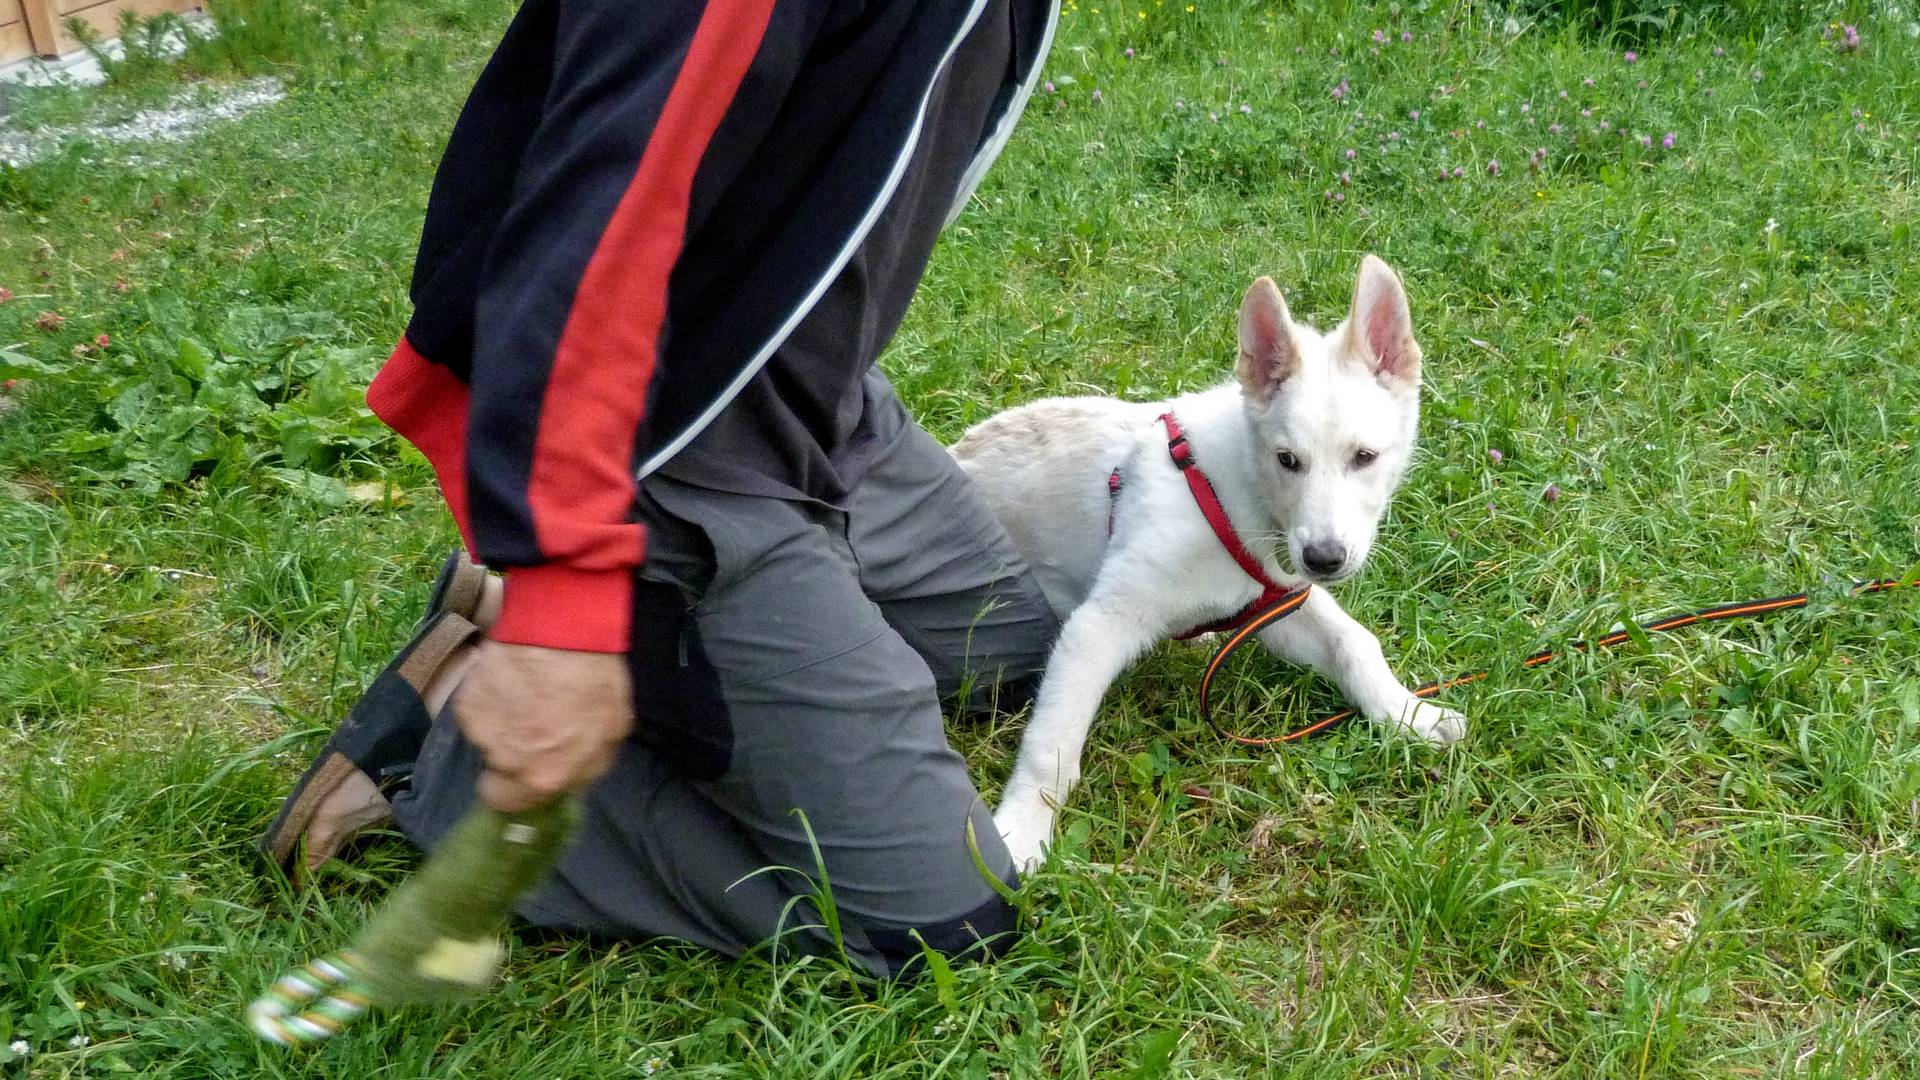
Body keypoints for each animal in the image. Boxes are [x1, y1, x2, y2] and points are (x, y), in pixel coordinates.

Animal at [952, 253, 1459, 864]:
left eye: (1365, 457)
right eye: (1287, 460)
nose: (1324, 559)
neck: (1236, 493)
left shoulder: (1277, 600)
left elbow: (1353, 641)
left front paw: (1407, 713)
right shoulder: (1099, 625)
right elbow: (1053, 745)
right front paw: (1023, 830)